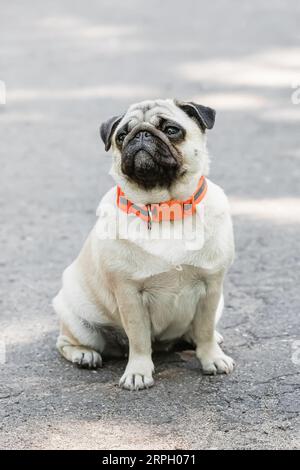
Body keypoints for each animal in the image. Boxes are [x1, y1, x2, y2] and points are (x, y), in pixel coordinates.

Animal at [54, 98, 237, 390]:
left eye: (172, 130)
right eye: (121, 137)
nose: (140, 134)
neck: (166, 209)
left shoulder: (211, 287)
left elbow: (205, 330)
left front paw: (212, 358)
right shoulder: (129, 294)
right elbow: (139, 338)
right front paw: (138, 372)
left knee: (198, 331)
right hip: (78, 319)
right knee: (66, 341)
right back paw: (84, 355)